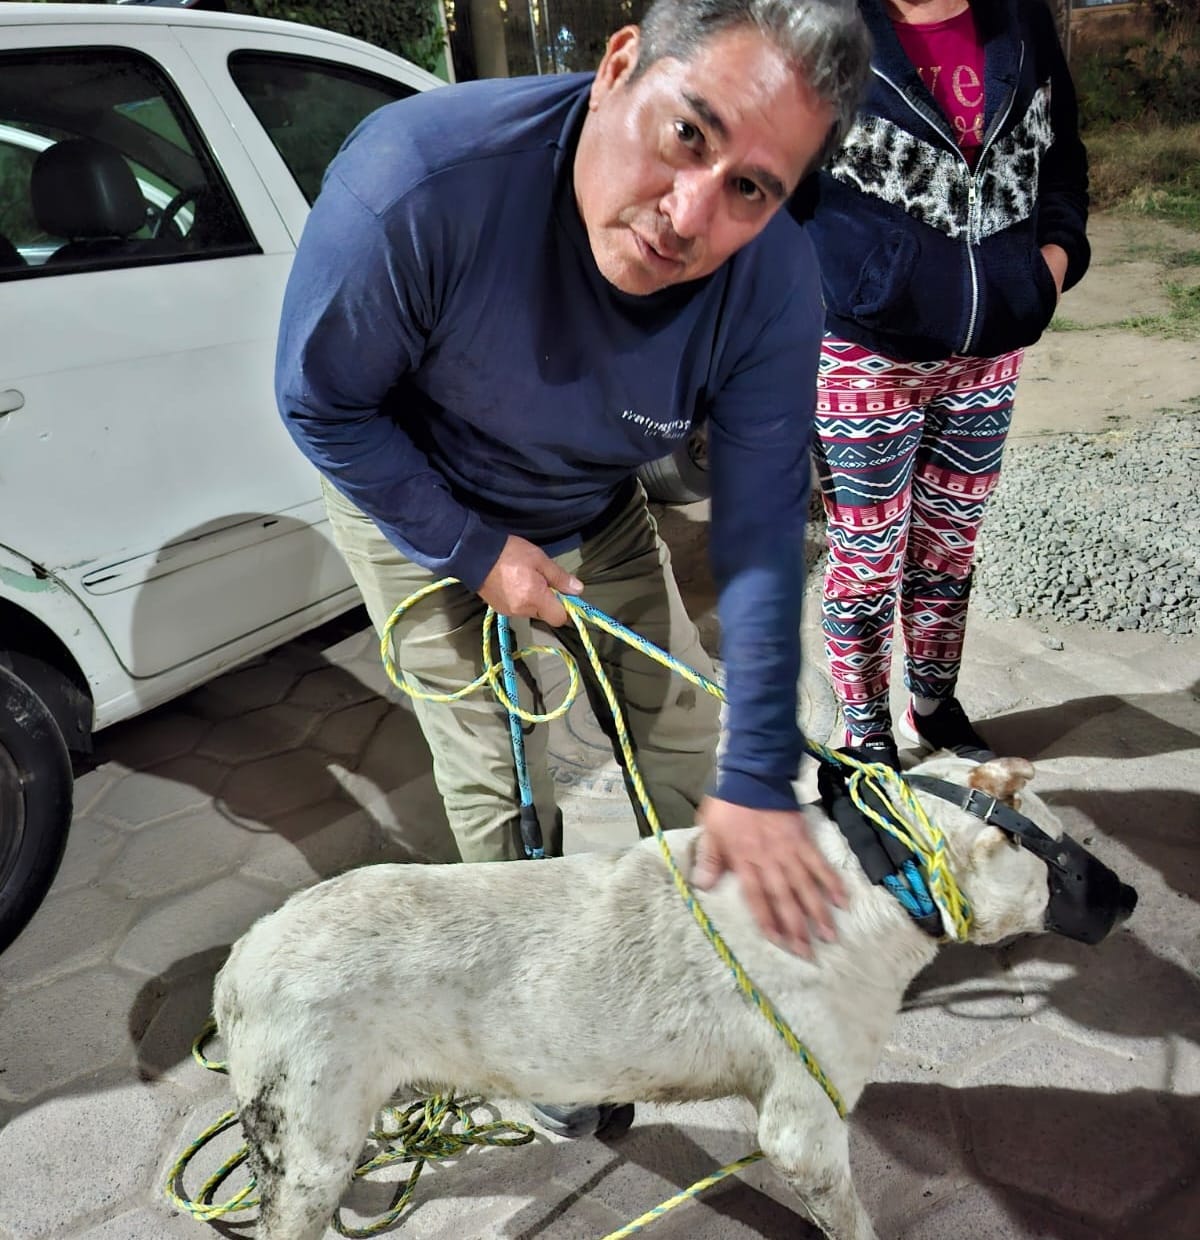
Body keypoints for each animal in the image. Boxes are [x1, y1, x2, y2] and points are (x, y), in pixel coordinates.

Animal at [213, 753, 1135, 1240]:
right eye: (1066, 856)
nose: (1129, 897)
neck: (875, 872)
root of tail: (237, 962)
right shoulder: (804, 1131)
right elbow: (848, 1220)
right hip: (309, 1139)